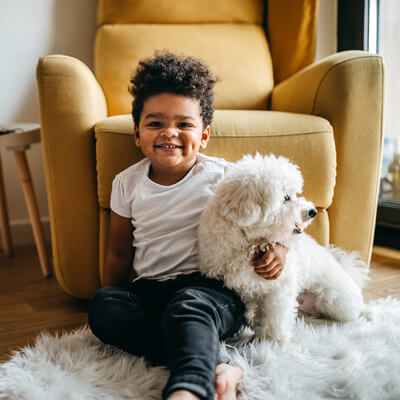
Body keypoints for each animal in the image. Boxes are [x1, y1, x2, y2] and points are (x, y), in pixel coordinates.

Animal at [199, 153, 368, 344]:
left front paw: (272, 342)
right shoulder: (240, 285)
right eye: (285, 198)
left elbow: (276, 317)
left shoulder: (279, 288)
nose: (312, 211)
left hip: (335, 301)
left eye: (294, 193)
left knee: (354, 310)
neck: (249, 242)